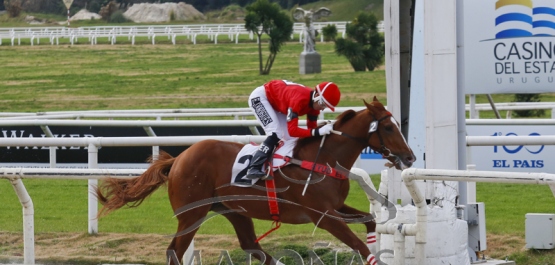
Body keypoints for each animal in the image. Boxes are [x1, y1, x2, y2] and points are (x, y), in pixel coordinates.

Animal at [97, 97, 414, 264]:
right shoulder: (323, 215)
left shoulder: (336, 207)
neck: (323, 158)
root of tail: (178, 159)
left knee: (251, 245)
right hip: (192, 213)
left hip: (233, 210)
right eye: (388, 127)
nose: (409, 157)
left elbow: (370, 222)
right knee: (174, 250)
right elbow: (358, 244)